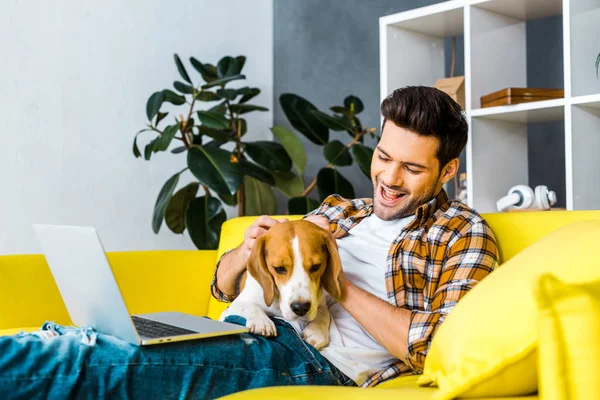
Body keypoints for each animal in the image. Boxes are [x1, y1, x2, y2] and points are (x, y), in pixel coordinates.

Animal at [219, 219, 342, 350]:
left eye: (316, 266)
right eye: (279, 269)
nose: (300, 307)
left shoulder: (320, 303)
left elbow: (324, 313)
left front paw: (316, 331)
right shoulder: (234, 305)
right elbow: (250, 306)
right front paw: (262, 322)